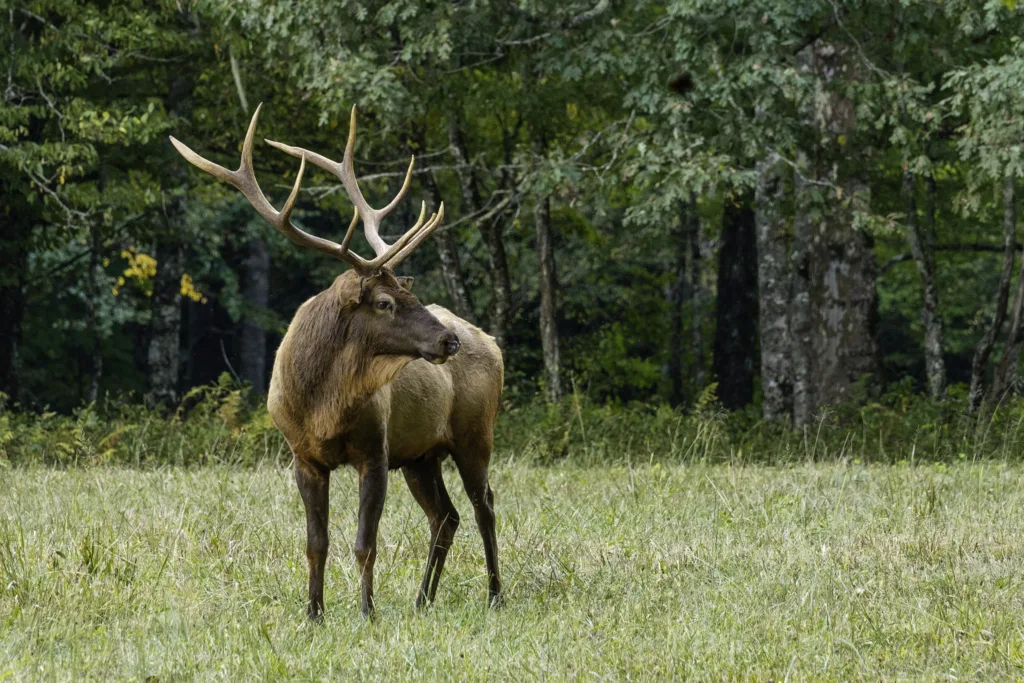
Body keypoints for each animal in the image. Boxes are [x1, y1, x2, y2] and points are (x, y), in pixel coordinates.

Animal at [172, 105, 503, 618]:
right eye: (385, 302)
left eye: (409, 292)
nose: (448, 341)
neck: (322, 405)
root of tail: (493, 342)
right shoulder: (303, 456)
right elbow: (316, 543)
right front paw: (314, 613)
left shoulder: (376, 451)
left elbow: (365, 543)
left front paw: (367, 612)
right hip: (421, 454)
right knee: (445, 516)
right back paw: (422, 599)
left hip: (474, 433)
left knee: (484, 505)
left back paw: (494, 594)